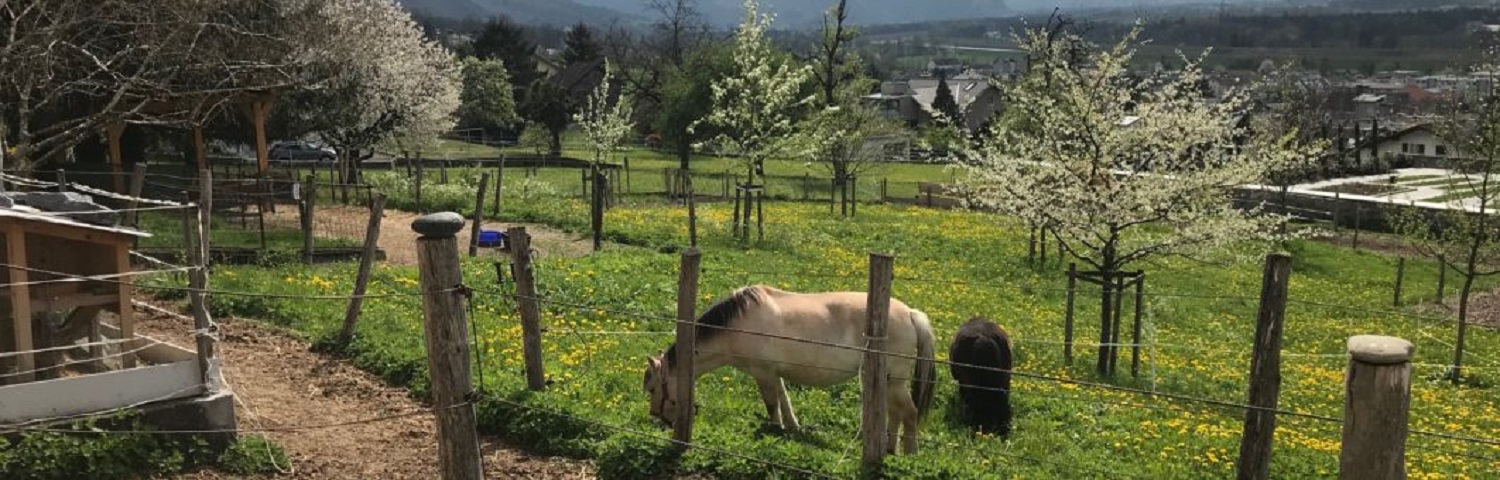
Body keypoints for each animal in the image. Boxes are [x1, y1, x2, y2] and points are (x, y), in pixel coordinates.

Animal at [643, 284, 938, 454]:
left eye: (653, 388)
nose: (659, 420)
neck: (738, 324)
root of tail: (910, 313)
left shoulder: (763, 373)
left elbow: (772, 404)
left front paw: (776, 428)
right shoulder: (775, 374)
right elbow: (785, 401)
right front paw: (792, 427)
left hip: (893, 381)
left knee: (909, 413)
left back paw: (910, 453)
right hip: (884, 381)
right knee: (895, 413)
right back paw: (889, 447)